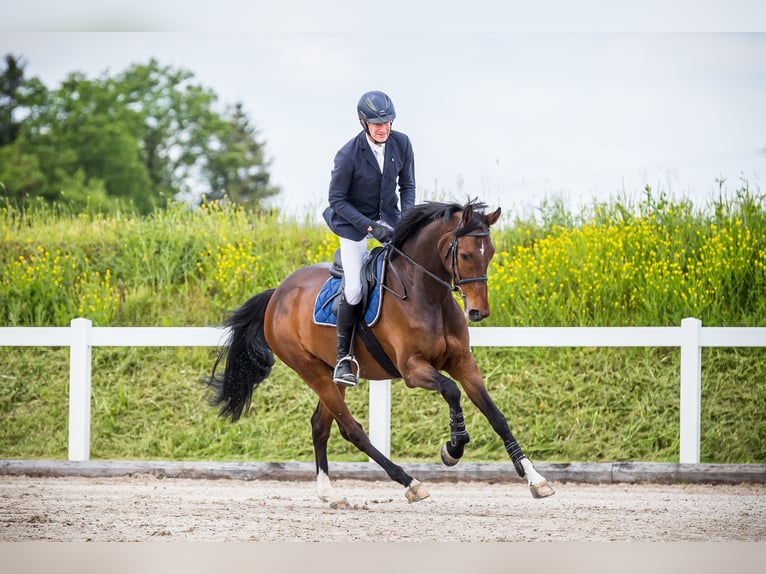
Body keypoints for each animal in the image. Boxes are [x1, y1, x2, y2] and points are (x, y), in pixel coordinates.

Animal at [207, 199, 556, 508]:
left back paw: (330, 494)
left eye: (491, 254)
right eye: (466, 254)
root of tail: (277, 293)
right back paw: (410, 483)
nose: (478, 312)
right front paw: (453, 448)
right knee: (351, 430)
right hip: (310, 370)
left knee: (321, 425)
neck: (428, 295)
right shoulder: (413, 369)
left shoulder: (462, 363)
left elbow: (496, 416)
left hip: (332, 374)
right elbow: (451, 390)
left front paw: (535, 479)